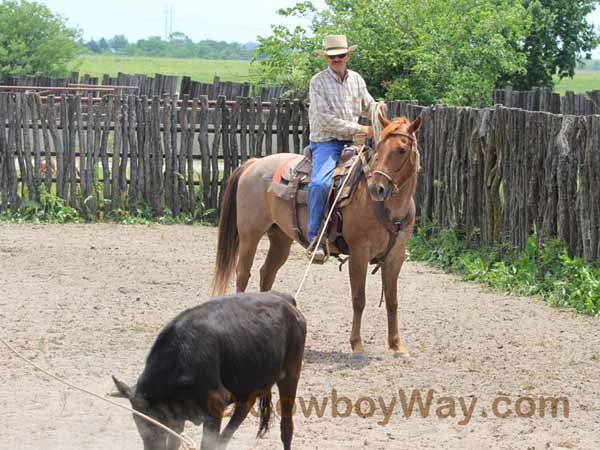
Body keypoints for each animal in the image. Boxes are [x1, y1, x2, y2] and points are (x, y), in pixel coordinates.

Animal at [212, 112, 422, 356]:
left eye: (402, 149)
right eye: (379, 147)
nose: (376, 189)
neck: (386, 208)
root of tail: (254, 163)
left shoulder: (395, 257)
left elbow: (392, 301)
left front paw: (397, 345)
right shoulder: (359, 254)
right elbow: (358, 299)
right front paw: (357, 344)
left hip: (280, 239)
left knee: (267, 273)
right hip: (250, 235)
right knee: (243, 274)